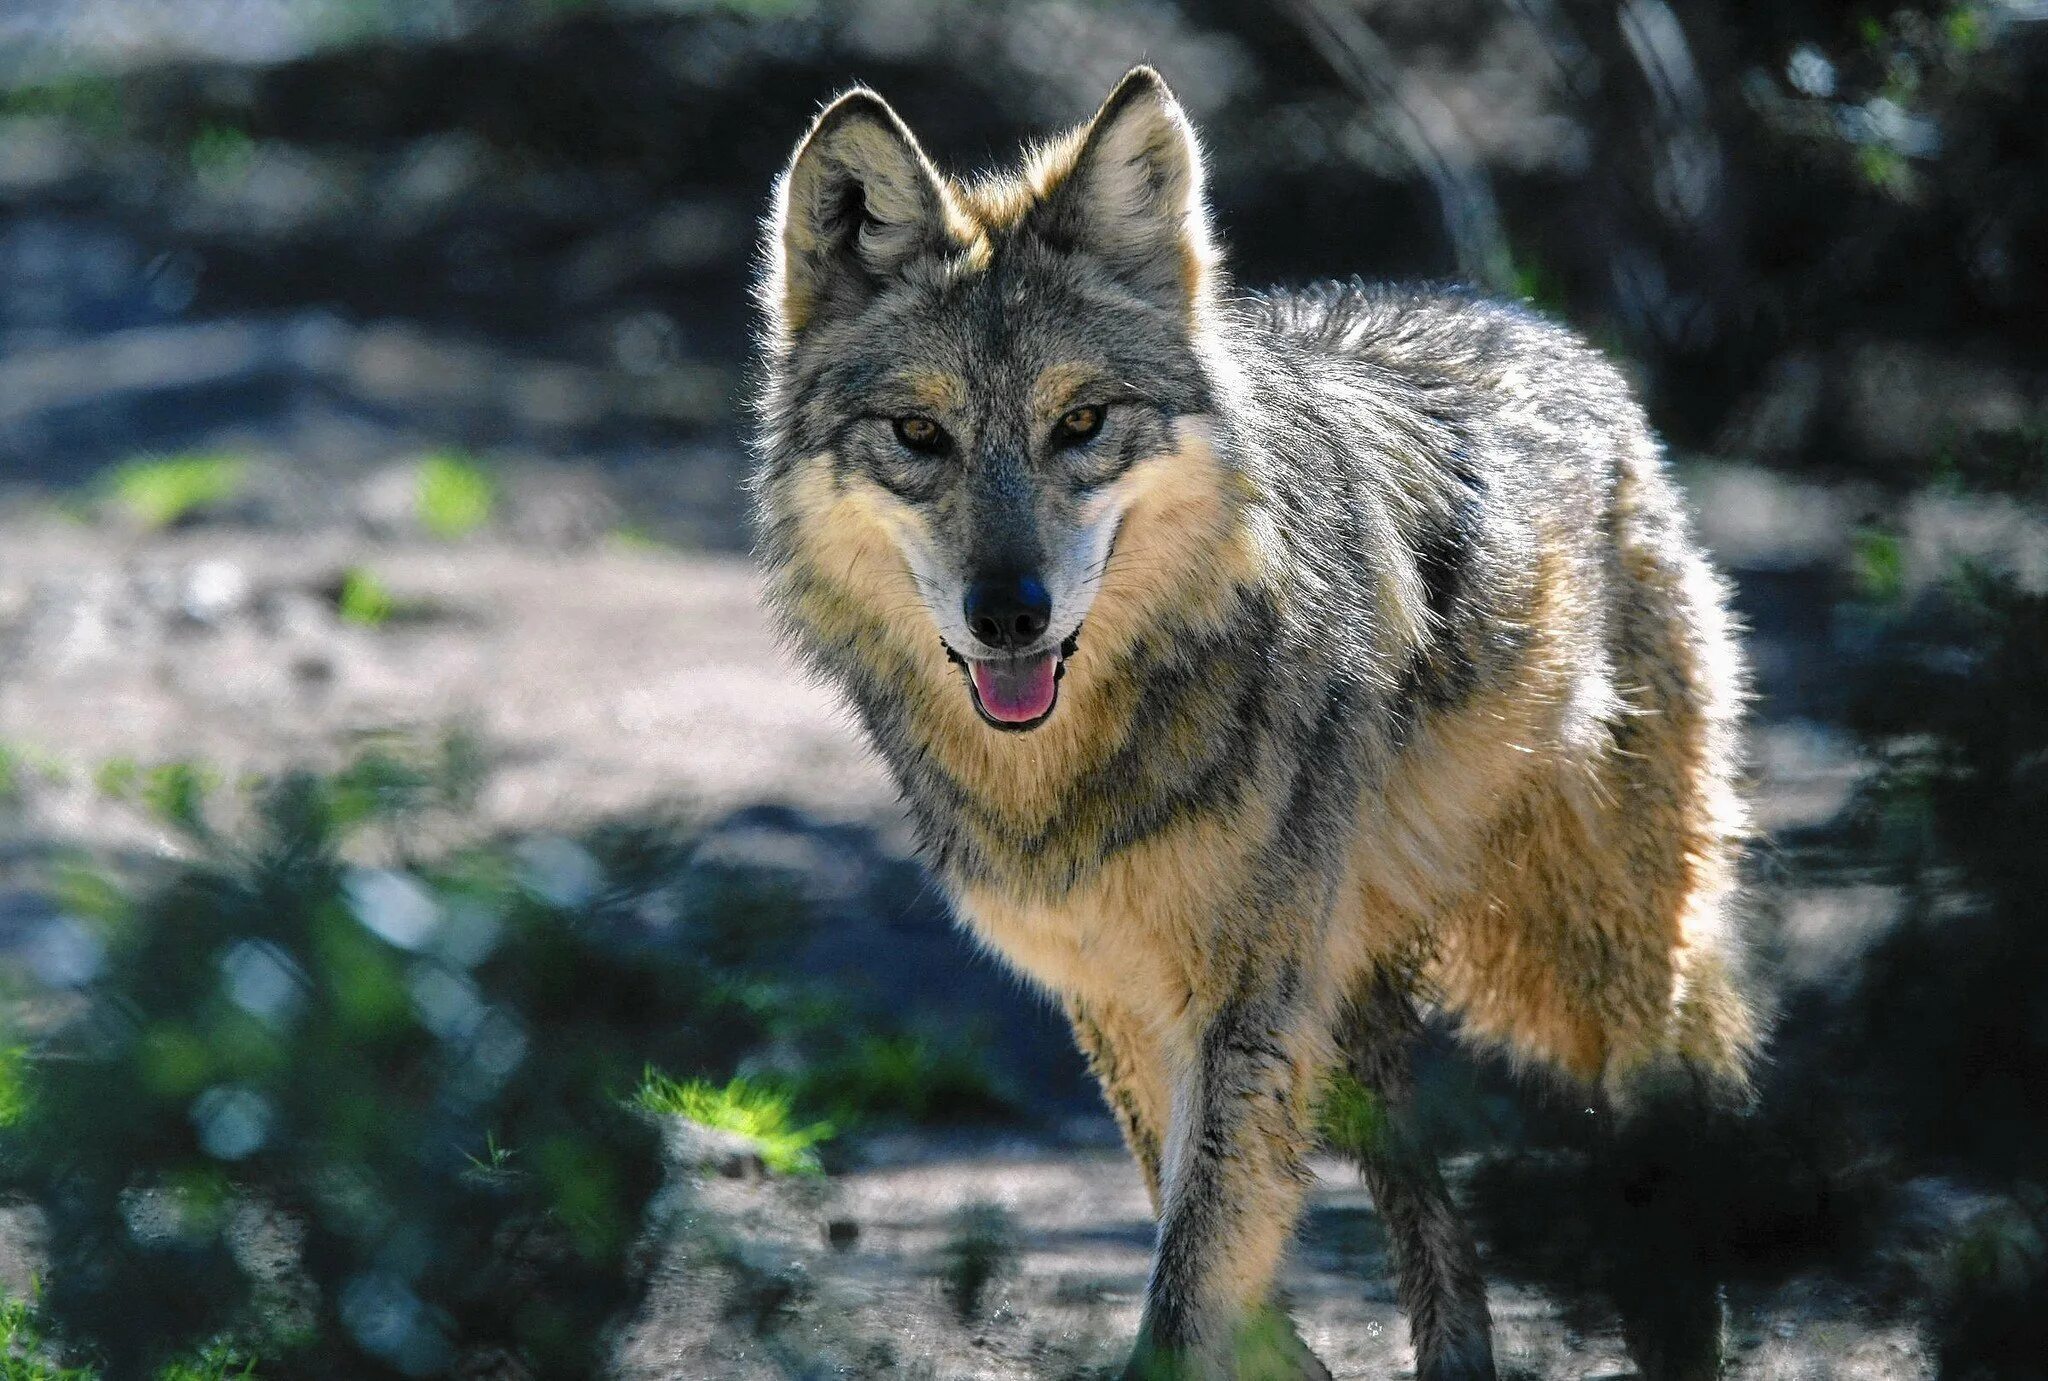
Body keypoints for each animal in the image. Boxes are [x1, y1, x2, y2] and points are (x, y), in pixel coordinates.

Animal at [753, 67, 1761, 1376]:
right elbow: (1201, 1237)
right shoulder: (1118, 996)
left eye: (1081, 424)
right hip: (1359, 998)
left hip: (1593, 955)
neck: (1074, 774)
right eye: (919, 436)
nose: (1010, 614)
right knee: (1434, 1223)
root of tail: (1550, 332)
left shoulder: (1244, 1005)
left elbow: (1189, 1280)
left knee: (1666, 1136)